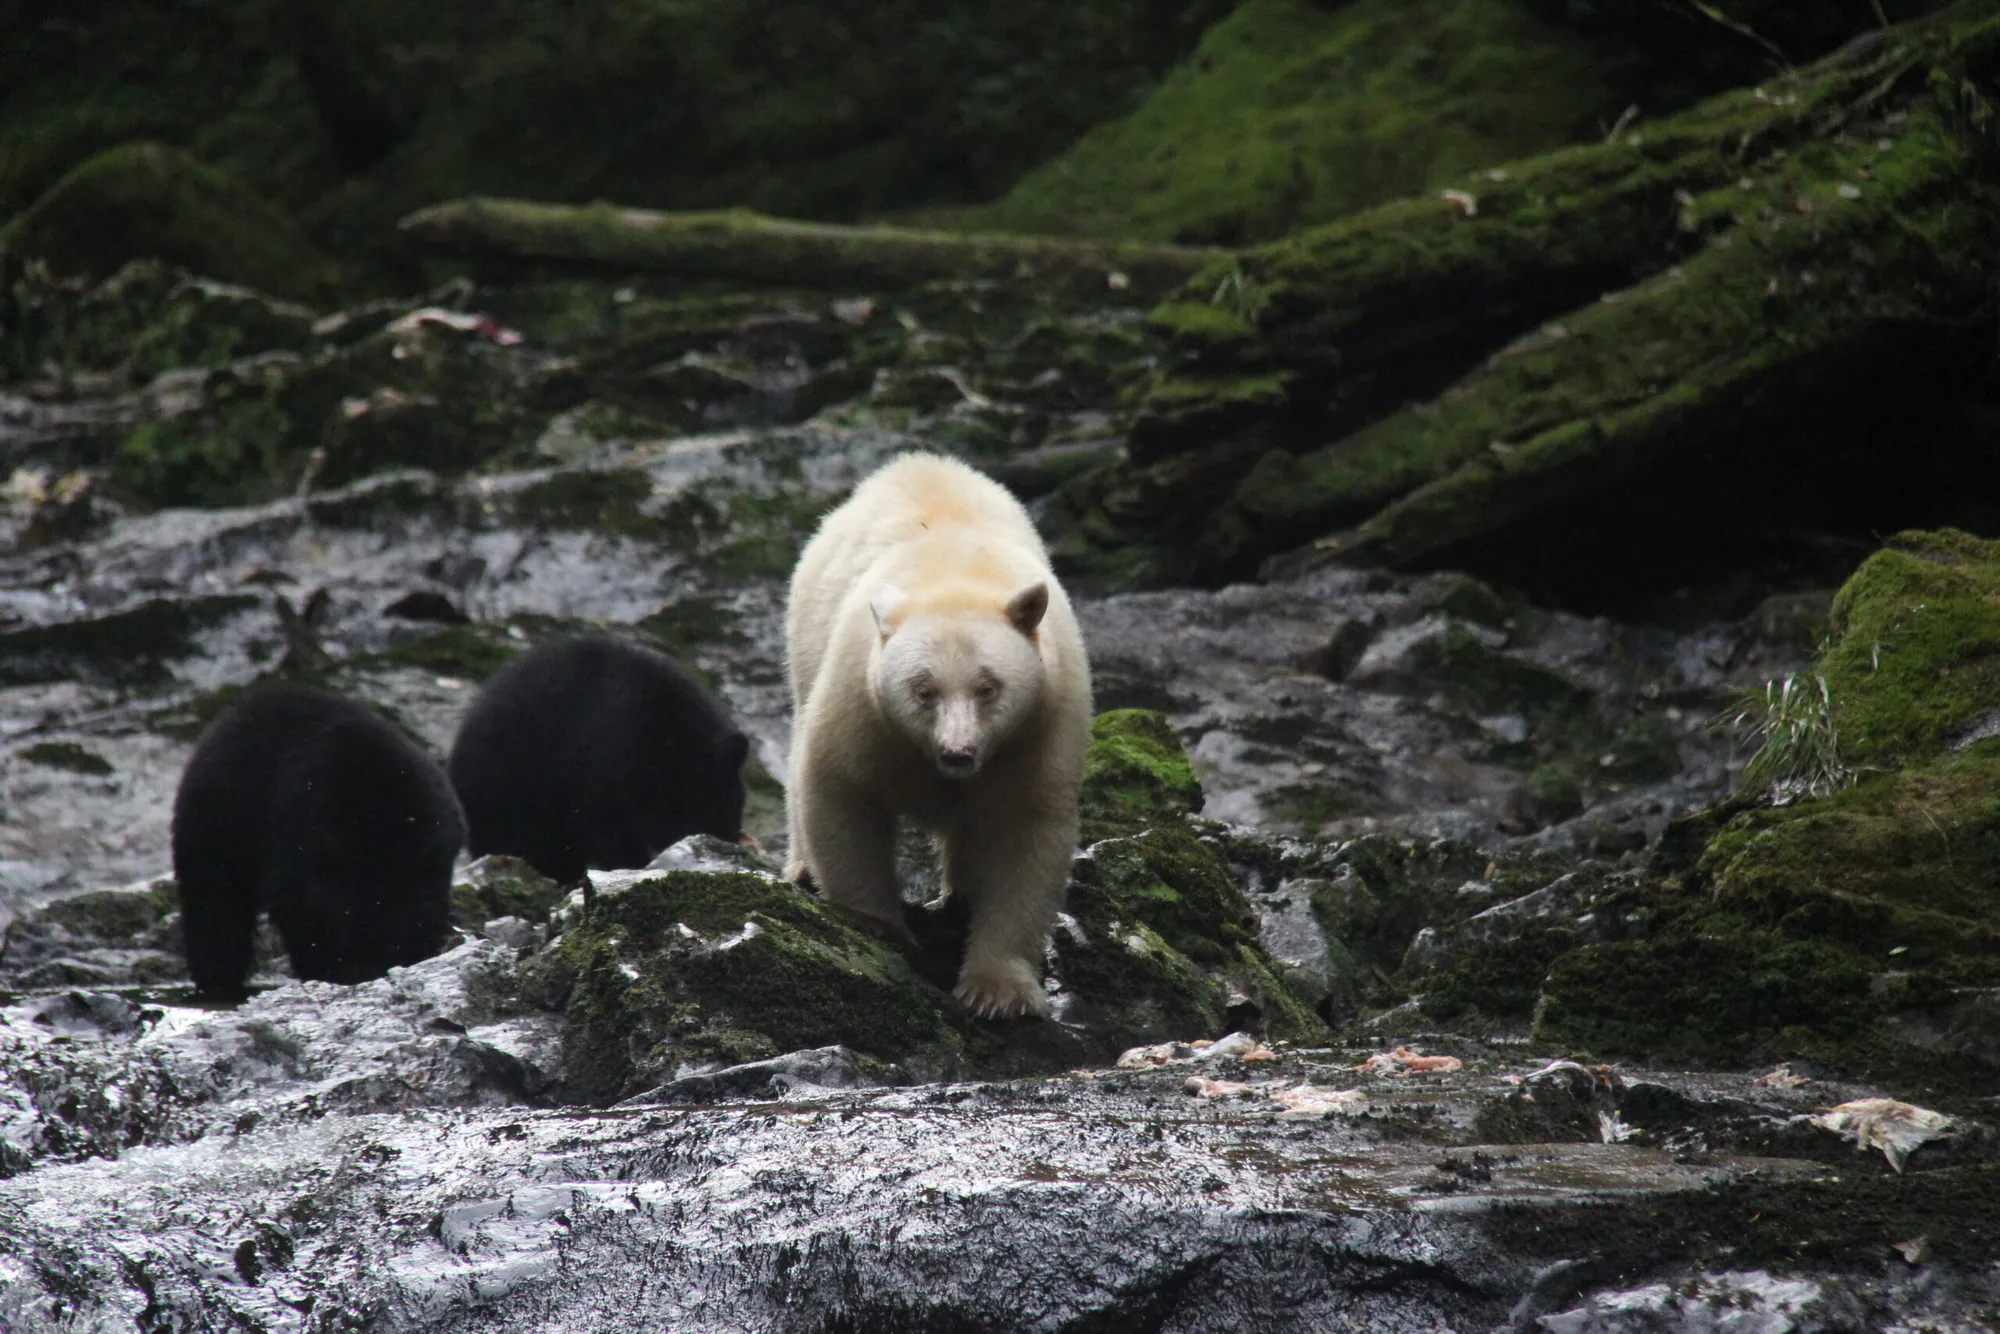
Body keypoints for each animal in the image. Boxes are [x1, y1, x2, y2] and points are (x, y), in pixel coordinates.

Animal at [171, 685, 465, 998]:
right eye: (348, 939)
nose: (368, 973)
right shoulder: (300, 840)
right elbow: (295, 907)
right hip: (218, 819)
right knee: (216, 902)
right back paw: (218, 980)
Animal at [785, 451, 1093, 1020]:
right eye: (923, 689)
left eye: (988, 687)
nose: (958, 753)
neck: (956, 576)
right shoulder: (863, 706)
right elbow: (840, 789)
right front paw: (879, 926)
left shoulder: (1040, 726)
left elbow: (1025, 832)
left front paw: (998, 991)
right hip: (806, 634)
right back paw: (802, 869)